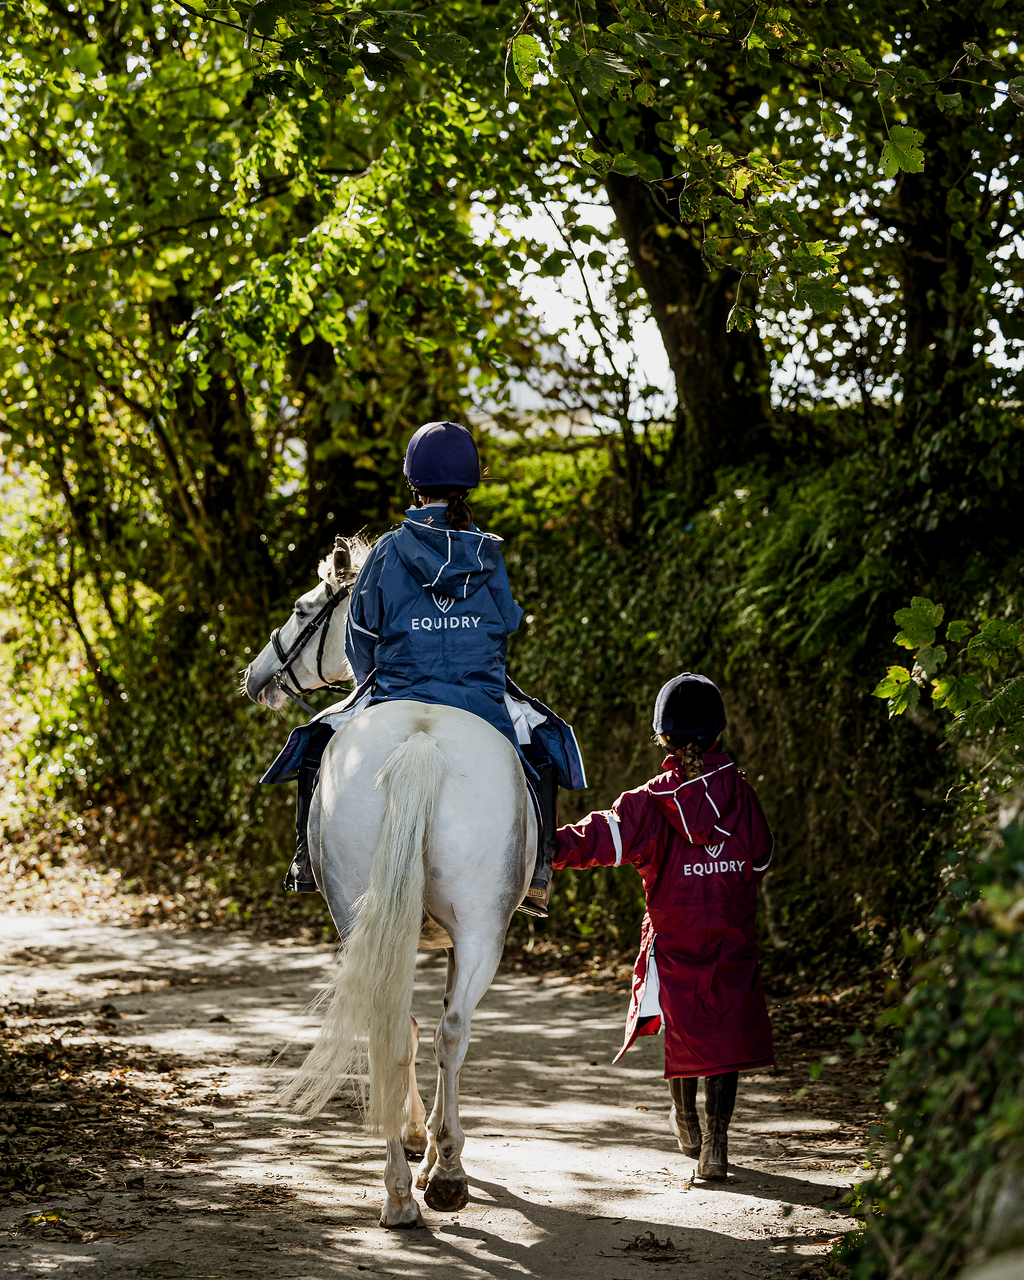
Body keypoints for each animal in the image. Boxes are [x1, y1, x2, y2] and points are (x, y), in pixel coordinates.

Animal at [242, 535, 537, 1227]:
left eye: (302, 609)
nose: (256, 676)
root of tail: (421, 742)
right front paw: (429, 1148)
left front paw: (420, 1144)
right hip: (478, 929)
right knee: (442, 1030)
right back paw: (437, 1176)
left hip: (384, 917)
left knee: (403, 1027)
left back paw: (408, 1186)